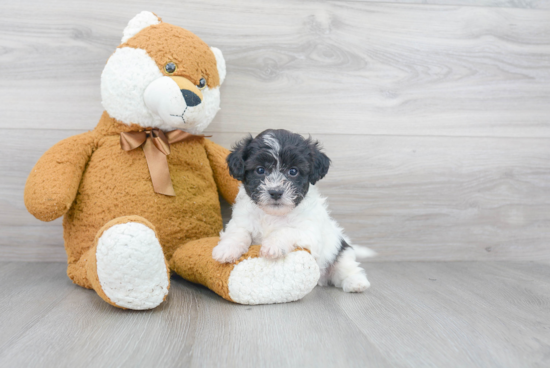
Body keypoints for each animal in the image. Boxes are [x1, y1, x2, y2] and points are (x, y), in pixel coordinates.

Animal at [211, 128, 376, 292]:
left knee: (348, 268)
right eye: (260, 170)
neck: (273, 215)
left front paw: (273, 246)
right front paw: (226, 249)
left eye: (293, 171)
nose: (275, 192)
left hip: (341, 252)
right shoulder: (241, 221)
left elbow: (286, 230)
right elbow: (237, 233)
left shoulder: (309, 231)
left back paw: (356, 283)